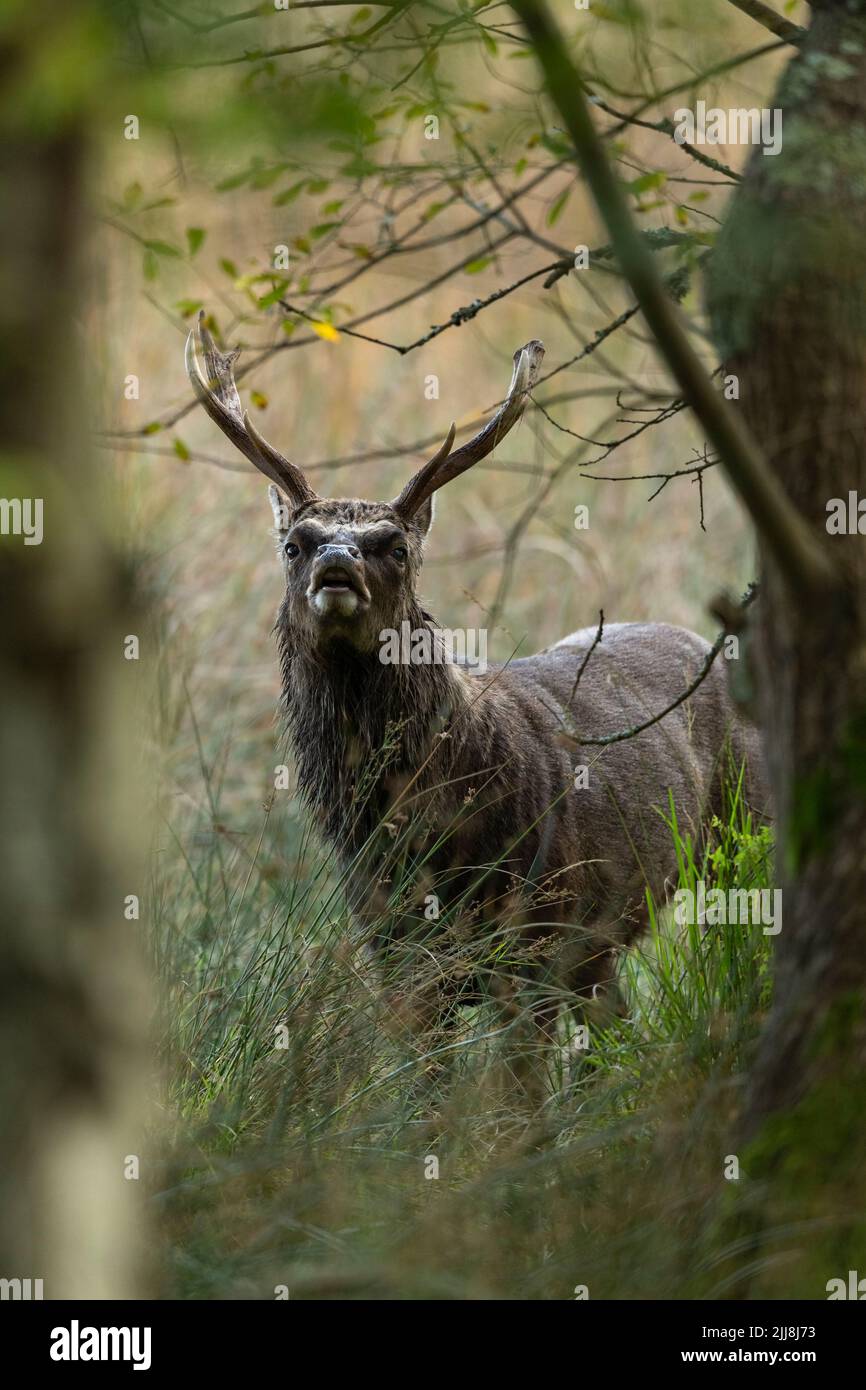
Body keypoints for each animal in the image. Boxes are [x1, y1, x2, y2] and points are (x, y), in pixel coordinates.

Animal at [185, 313, 767, 1091]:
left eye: (395, 546)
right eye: (294, 544)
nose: (336, 565)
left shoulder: (536, 937)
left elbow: (519, 1102)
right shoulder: (395, 953)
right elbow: (426, 1096)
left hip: (743, 832)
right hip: (595, 948)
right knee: (614, 1030)